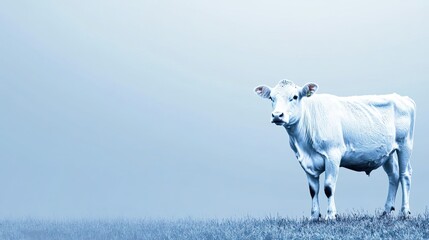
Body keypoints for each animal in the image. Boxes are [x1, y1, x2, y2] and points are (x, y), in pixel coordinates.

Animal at [254, 79, 414, 220]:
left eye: (294, 97)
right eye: (271, 97)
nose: (277, 115)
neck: (303, 144)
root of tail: (403, 98)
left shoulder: (332, 155)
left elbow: (328, 187)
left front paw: (331, 215)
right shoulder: (305, 161)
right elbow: (313, 190)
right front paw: (314, 216)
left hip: (405, 144)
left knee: (404, 175)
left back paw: (404, 212)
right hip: (387, 152)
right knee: (393, 175)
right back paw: (386, 211)